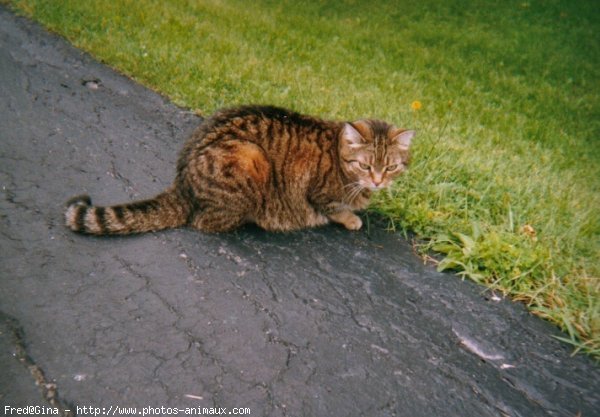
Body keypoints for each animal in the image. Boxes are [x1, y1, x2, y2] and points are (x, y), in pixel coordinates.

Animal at [64, 104, 412, 234]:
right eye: (365, 165)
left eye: (392, 167)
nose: (378, 181)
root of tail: (182, 182)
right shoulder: (317, 193)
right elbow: (335, 208)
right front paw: (351, 217)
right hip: (250, 157)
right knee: (204, 222)